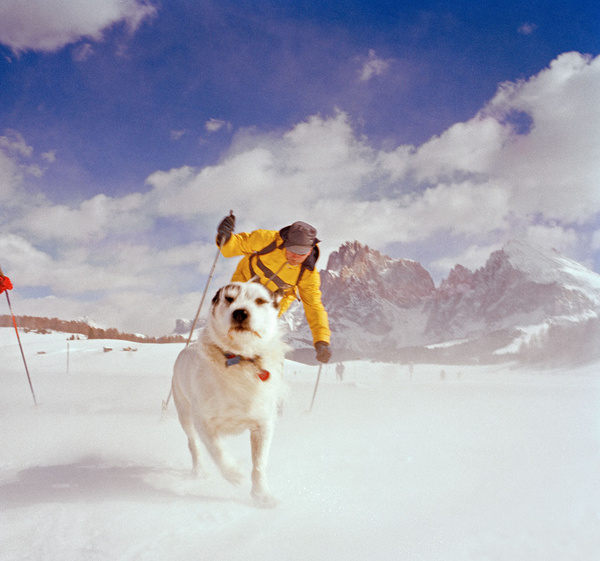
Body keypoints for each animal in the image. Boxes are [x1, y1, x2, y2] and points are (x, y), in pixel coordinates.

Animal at [171, 282, 288, 506]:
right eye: (229, 298)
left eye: (260, 301)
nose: (240, 313)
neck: (239, 360)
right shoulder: (204, 422)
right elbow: (217, 451)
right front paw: (233, 473)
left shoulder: (263, 424)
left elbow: (259, 464)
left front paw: (261, 495)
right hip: (184, 413)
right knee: (193, 444)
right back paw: (199, 471)